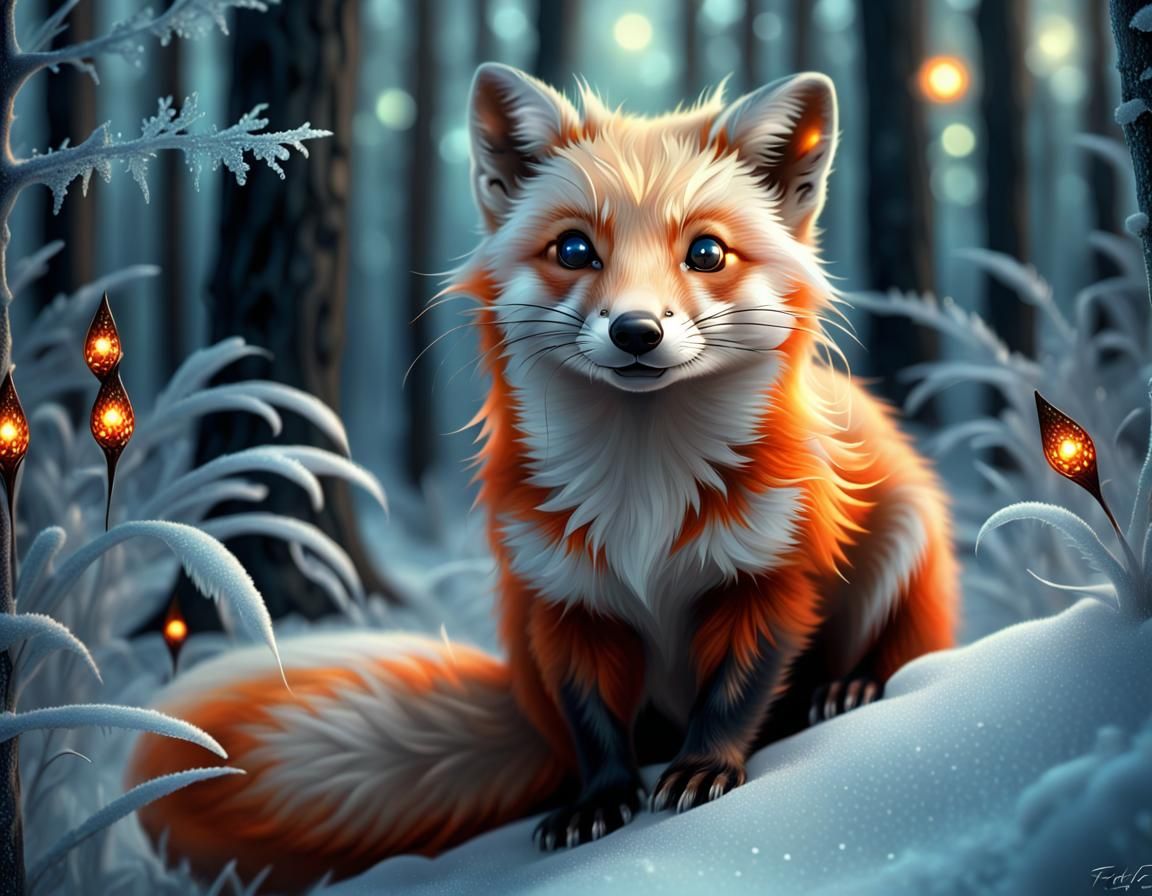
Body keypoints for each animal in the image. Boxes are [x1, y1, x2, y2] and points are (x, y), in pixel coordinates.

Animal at [127, 64, 958, 889]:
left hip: (905, 547)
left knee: (903, 649)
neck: (642, 505)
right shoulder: (563, 599)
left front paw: (704, 770)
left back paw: (848, 689)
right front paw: (599, 806)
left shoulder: (770, 574)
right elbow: (593, 725)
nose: (635, 331)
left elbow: (736, 690)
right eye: (575, 249)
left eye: (707, 254)